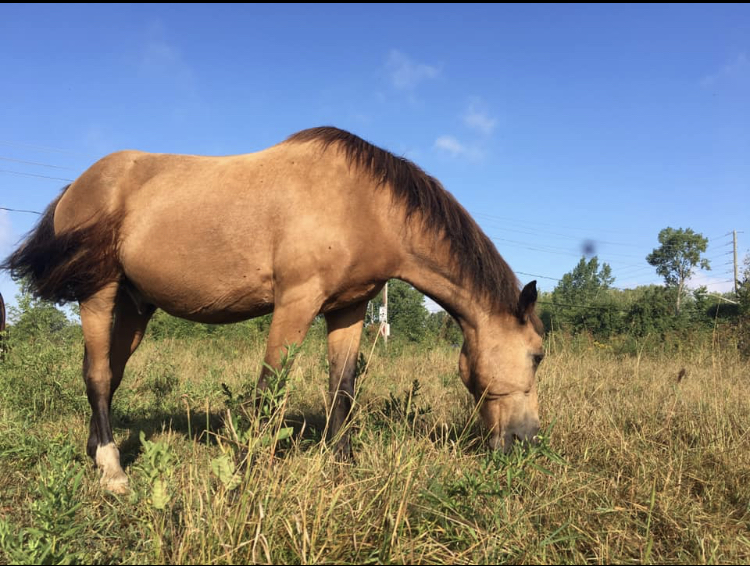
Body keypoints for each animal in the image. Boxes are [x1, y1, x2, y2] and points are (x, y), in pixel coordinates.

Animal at [1, 126, 548, 494]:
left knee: (107, 375)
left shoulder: (348, 309)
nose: (526, 440)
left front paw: (341, 468)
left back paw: (95, 452)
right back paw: (113, 471)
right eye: (538, 354)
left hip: (137, 305)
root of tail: (77, 185)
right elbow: (269, 390)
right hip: (100, 293)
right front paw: (241, 476)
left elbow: (341, 390)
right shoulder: (296, 302)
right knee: (97, 375)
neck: (364, 203)